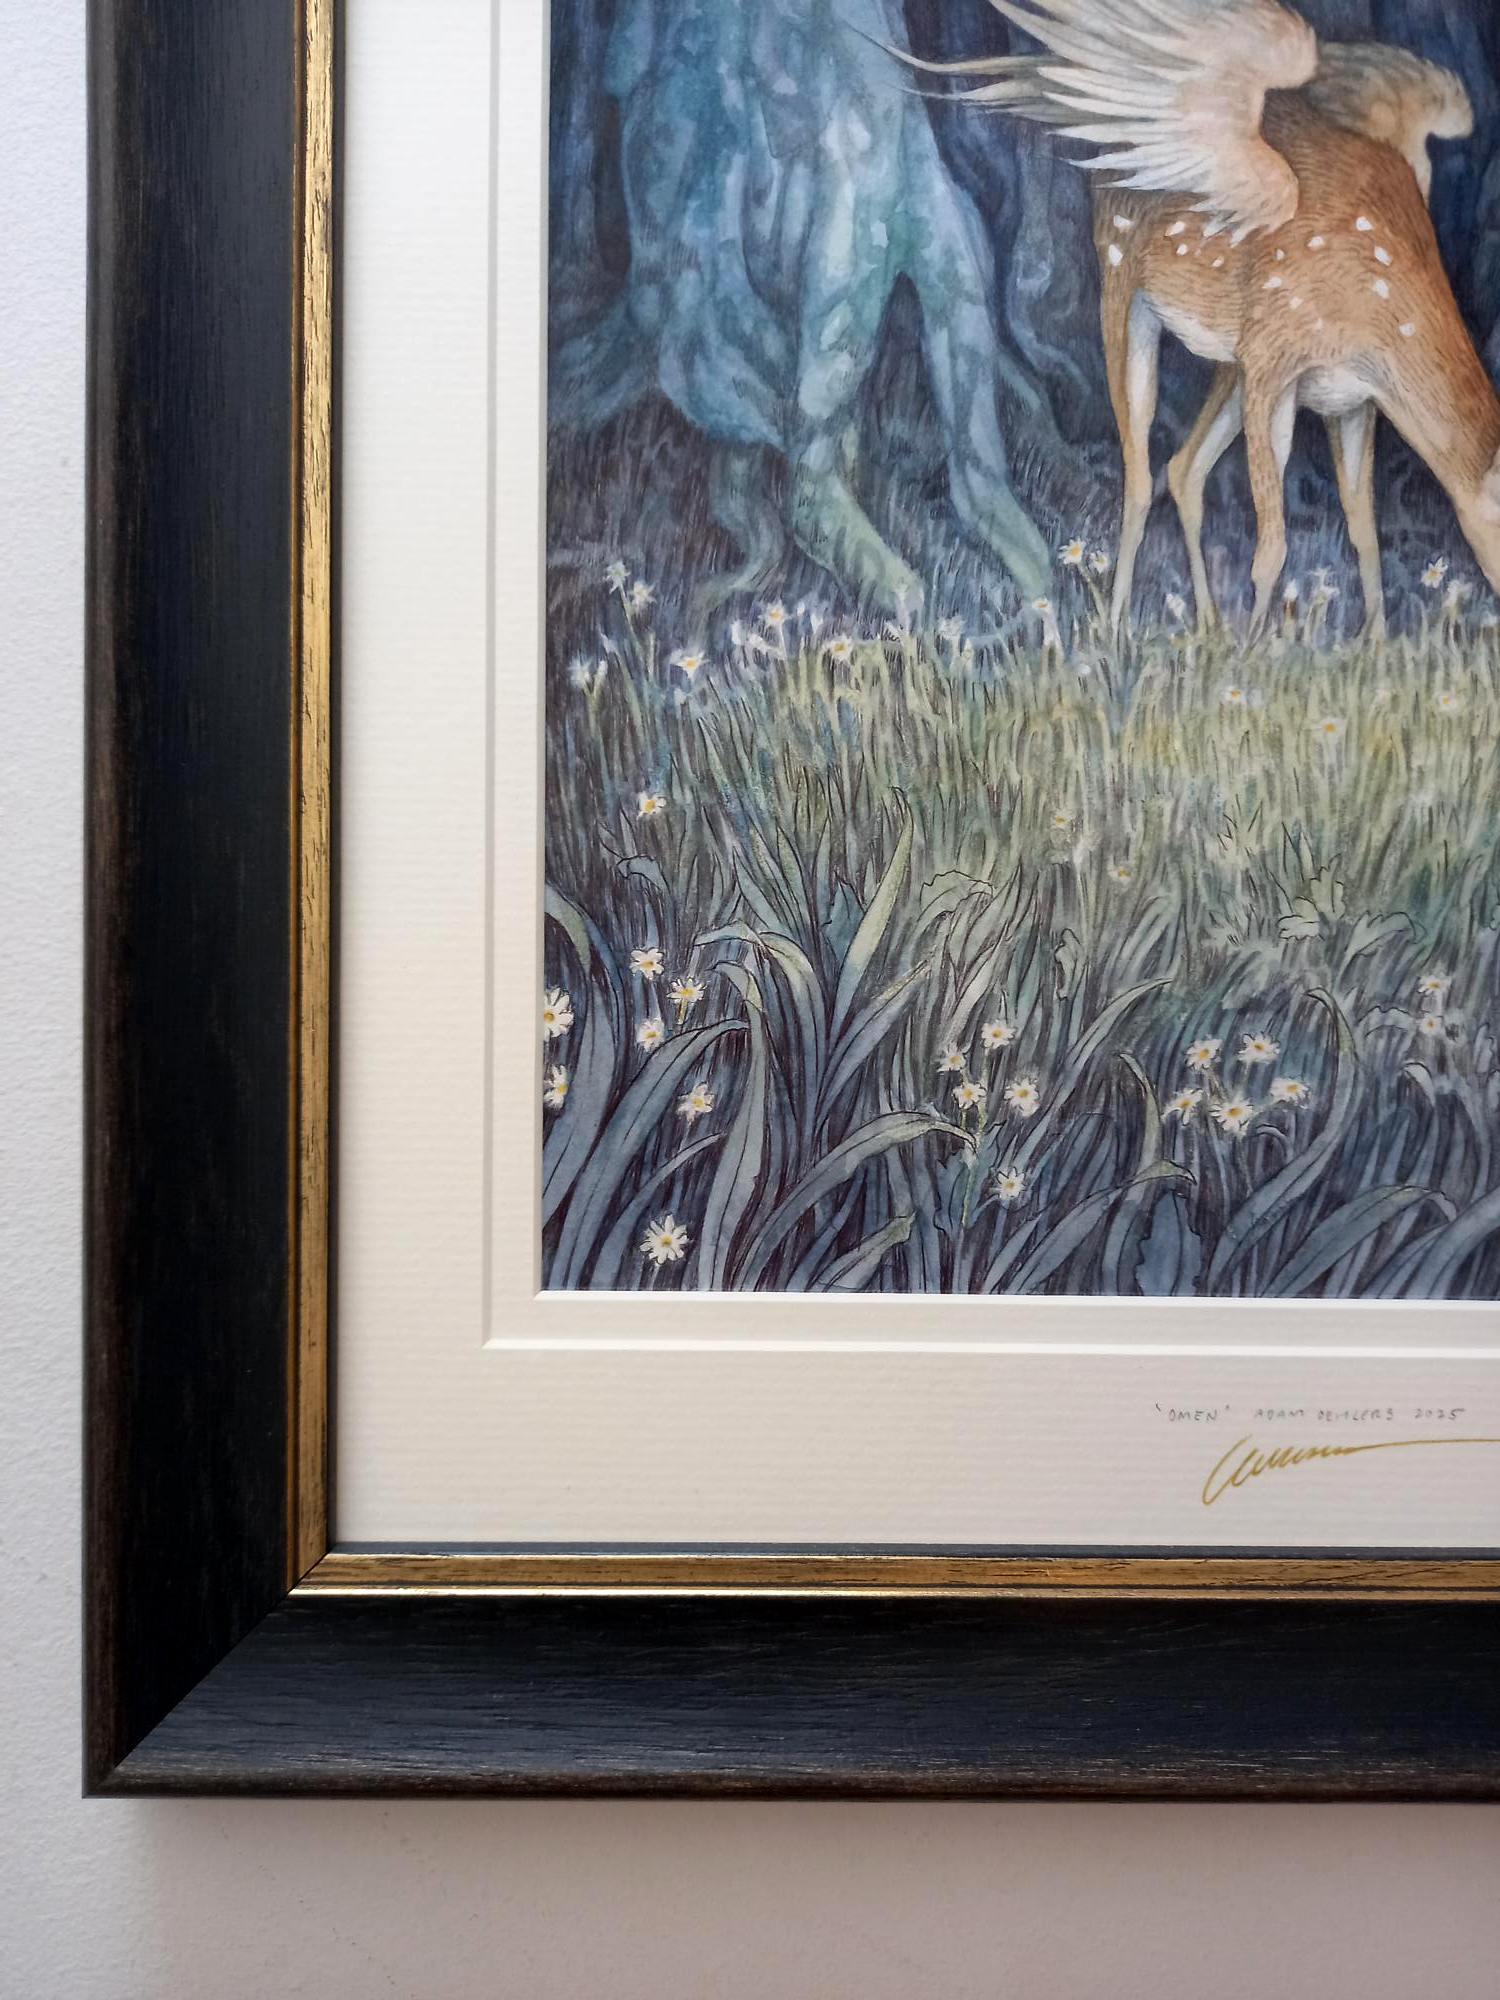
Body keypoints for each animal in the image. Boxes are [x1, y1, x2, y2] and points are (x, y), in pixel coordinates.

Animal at [890, 0, 1500, 639]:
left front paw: (1372, 643)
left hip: (1229, 358)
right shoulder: (1273, 357)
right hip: (1127, 287)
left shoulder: (1351, 399)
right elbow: (1272, 545)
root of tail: (1106, 169)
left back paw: (1206, 623)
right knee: (1139, 469)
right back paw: (1116, 625)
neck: (1376, 300)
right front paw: (1259, 648)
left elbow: (1362, 525)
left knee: (1184, 467)